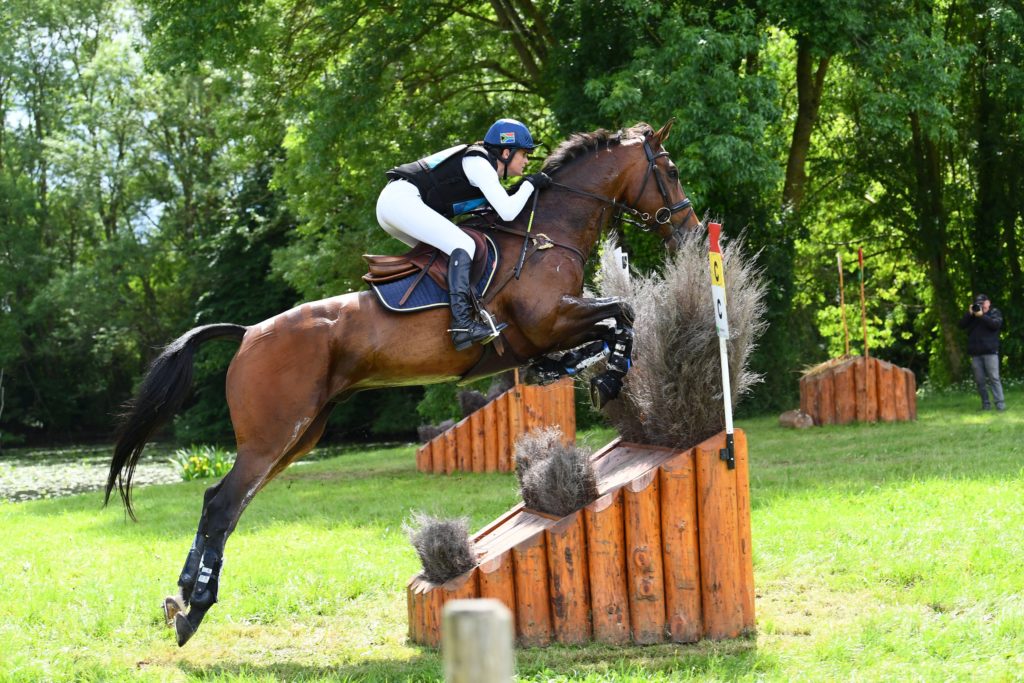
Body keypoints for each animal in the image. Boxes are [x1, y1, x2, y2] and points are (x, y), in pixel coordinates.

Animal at [103, 120, 700, 651]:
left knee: (221, 504)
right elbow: (622, 315)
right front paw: (609, 376)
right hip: (273, 436)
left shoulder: (549, 331)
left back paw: (184, 600)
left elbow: (613, 323)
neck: (546, 236)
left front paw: (581, 370)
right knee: (223, 504)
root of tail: (249, 333)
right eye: (669, 170)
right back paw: (196, 606)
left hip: (299, 436)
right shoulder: (548, 321)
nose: (692, 229)